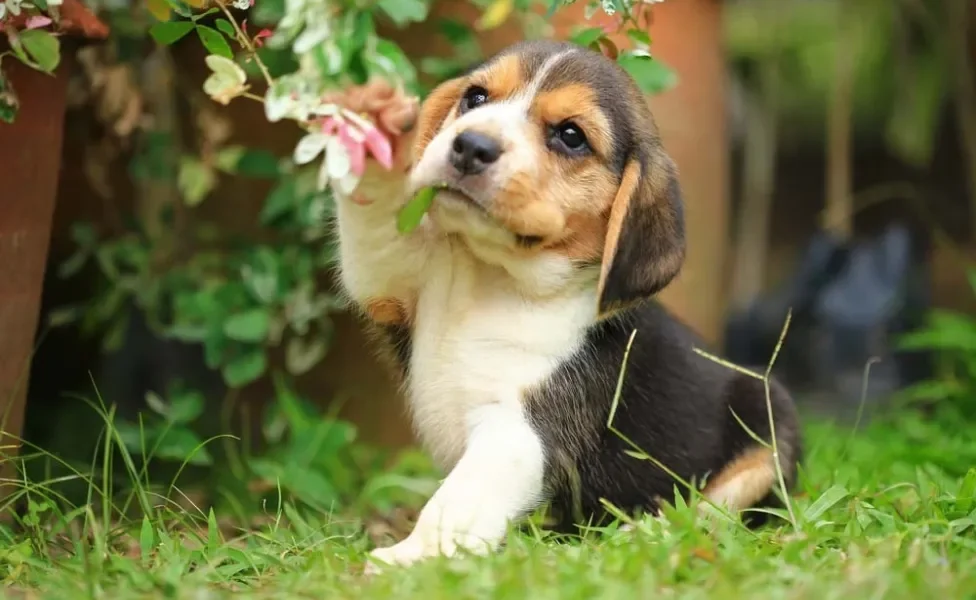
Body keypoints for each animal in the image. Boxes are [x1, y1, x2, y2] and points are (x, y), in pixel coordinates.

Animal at [336, 39, 800, 568]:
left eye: (571, 136)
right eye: (476, 98)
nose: (471, 145)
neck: (497, 277)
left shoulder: (522, 433)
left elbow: (456, 499)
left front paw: (409, 559)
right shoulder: (398, 280)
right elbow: (379, 238)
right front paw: (375, 130)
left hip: (769, 431)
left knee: (711, 512)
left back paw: (642, 534)